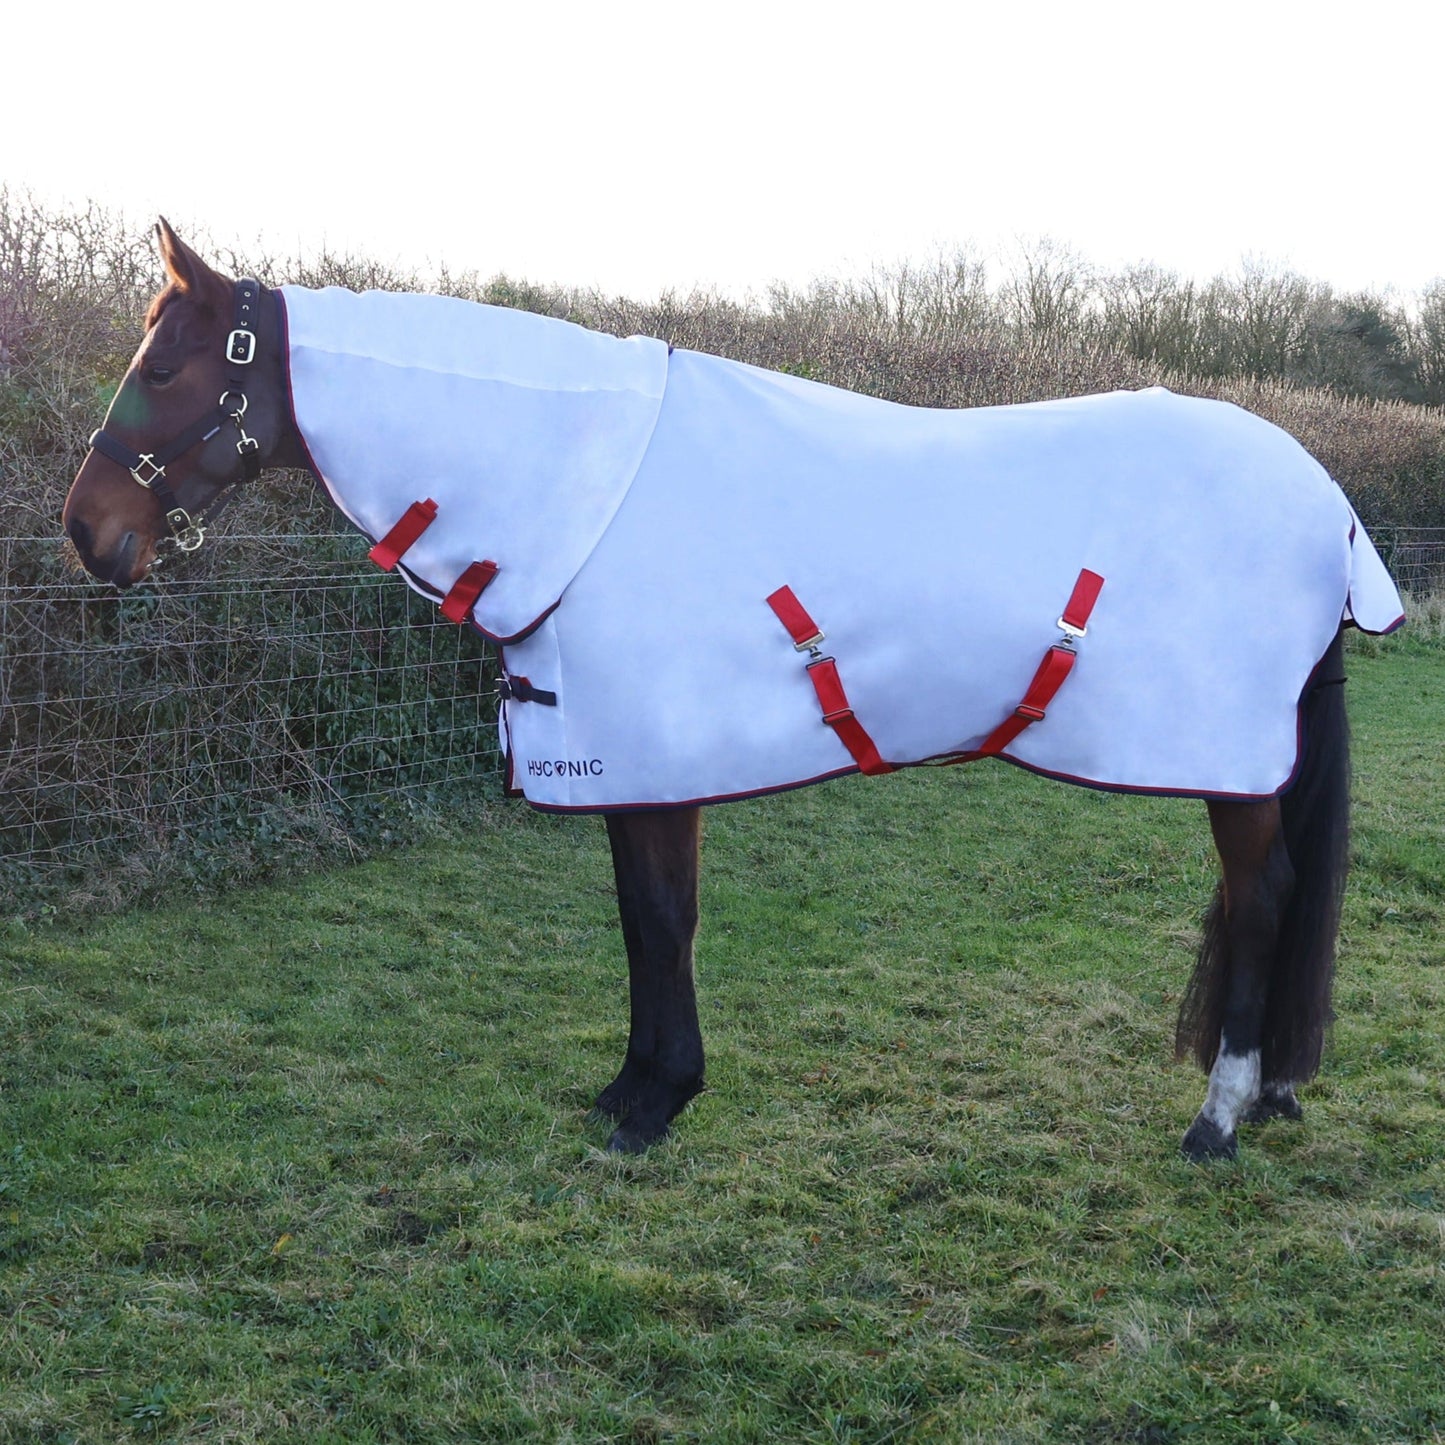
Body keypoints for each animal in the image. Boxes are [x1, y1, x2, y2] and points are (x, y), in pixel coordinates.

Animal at [62, 221, 1405, 1161]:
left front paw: (650, 1106)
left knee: (1263, 895)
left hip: (1226, 761)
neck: (583, 493)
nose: (87, 533)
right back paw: (1266, 1093)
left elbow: (659, 920)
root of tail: (1321, 496)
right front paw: (635, 1085)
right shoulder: (628, 764)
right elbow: (644, 920)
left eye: (168, 364)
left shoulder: (654, 766)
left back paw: (1218, 1117)